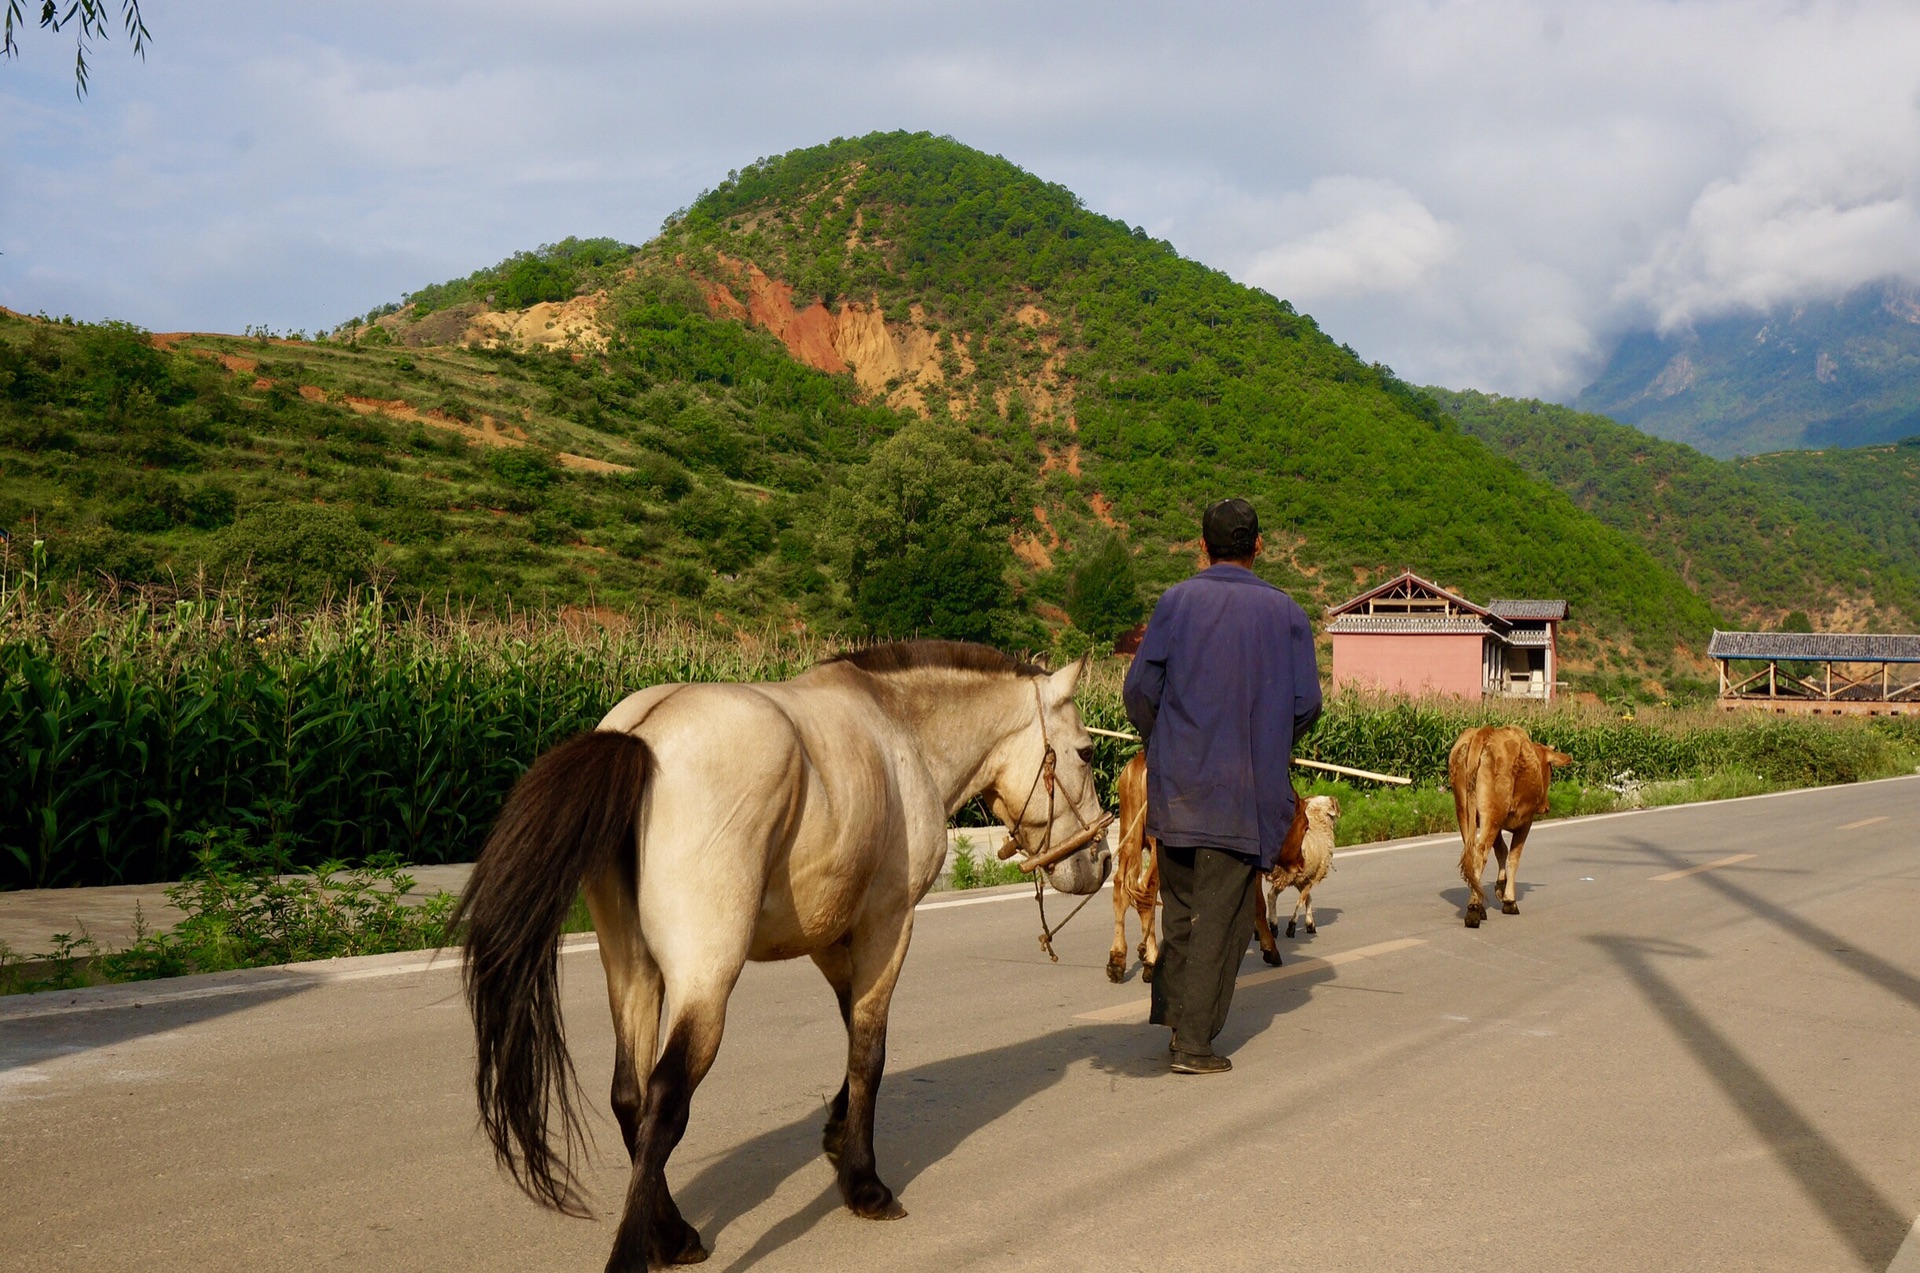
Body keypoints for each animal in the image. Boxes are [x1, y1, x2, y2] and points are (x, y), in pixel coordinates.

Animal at [453, 641, 1113, 1267]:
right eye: (1085, 752)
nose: (1099, 861)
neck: (900, 727)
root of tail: (638, 736)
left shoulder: (829, 938)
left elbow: (853, 1031)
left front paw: (837, 1135)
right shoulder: (887, 925)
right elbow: (870, 1049)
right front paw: (865, 1184)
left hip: (633, 973)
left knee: (629, 1096)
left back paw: (672, 1234)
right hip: (705, 978)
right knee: (665, 1099)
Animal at [1451, 725, 1574, 925]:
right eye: (1550, 769)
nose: (1546, 807)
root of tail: (1484, 731)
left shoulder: (1498, 823)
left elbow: (1501, 850)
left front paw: (1500, 887)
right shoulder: (1525, 821)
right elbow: (1513, 857)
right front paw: (1510, 900)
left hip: (1464, 811)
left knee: (1470, 853)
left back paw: (1479, 904)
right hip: (1492, 813)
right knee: (1480, 854)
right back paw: (1474, 908)